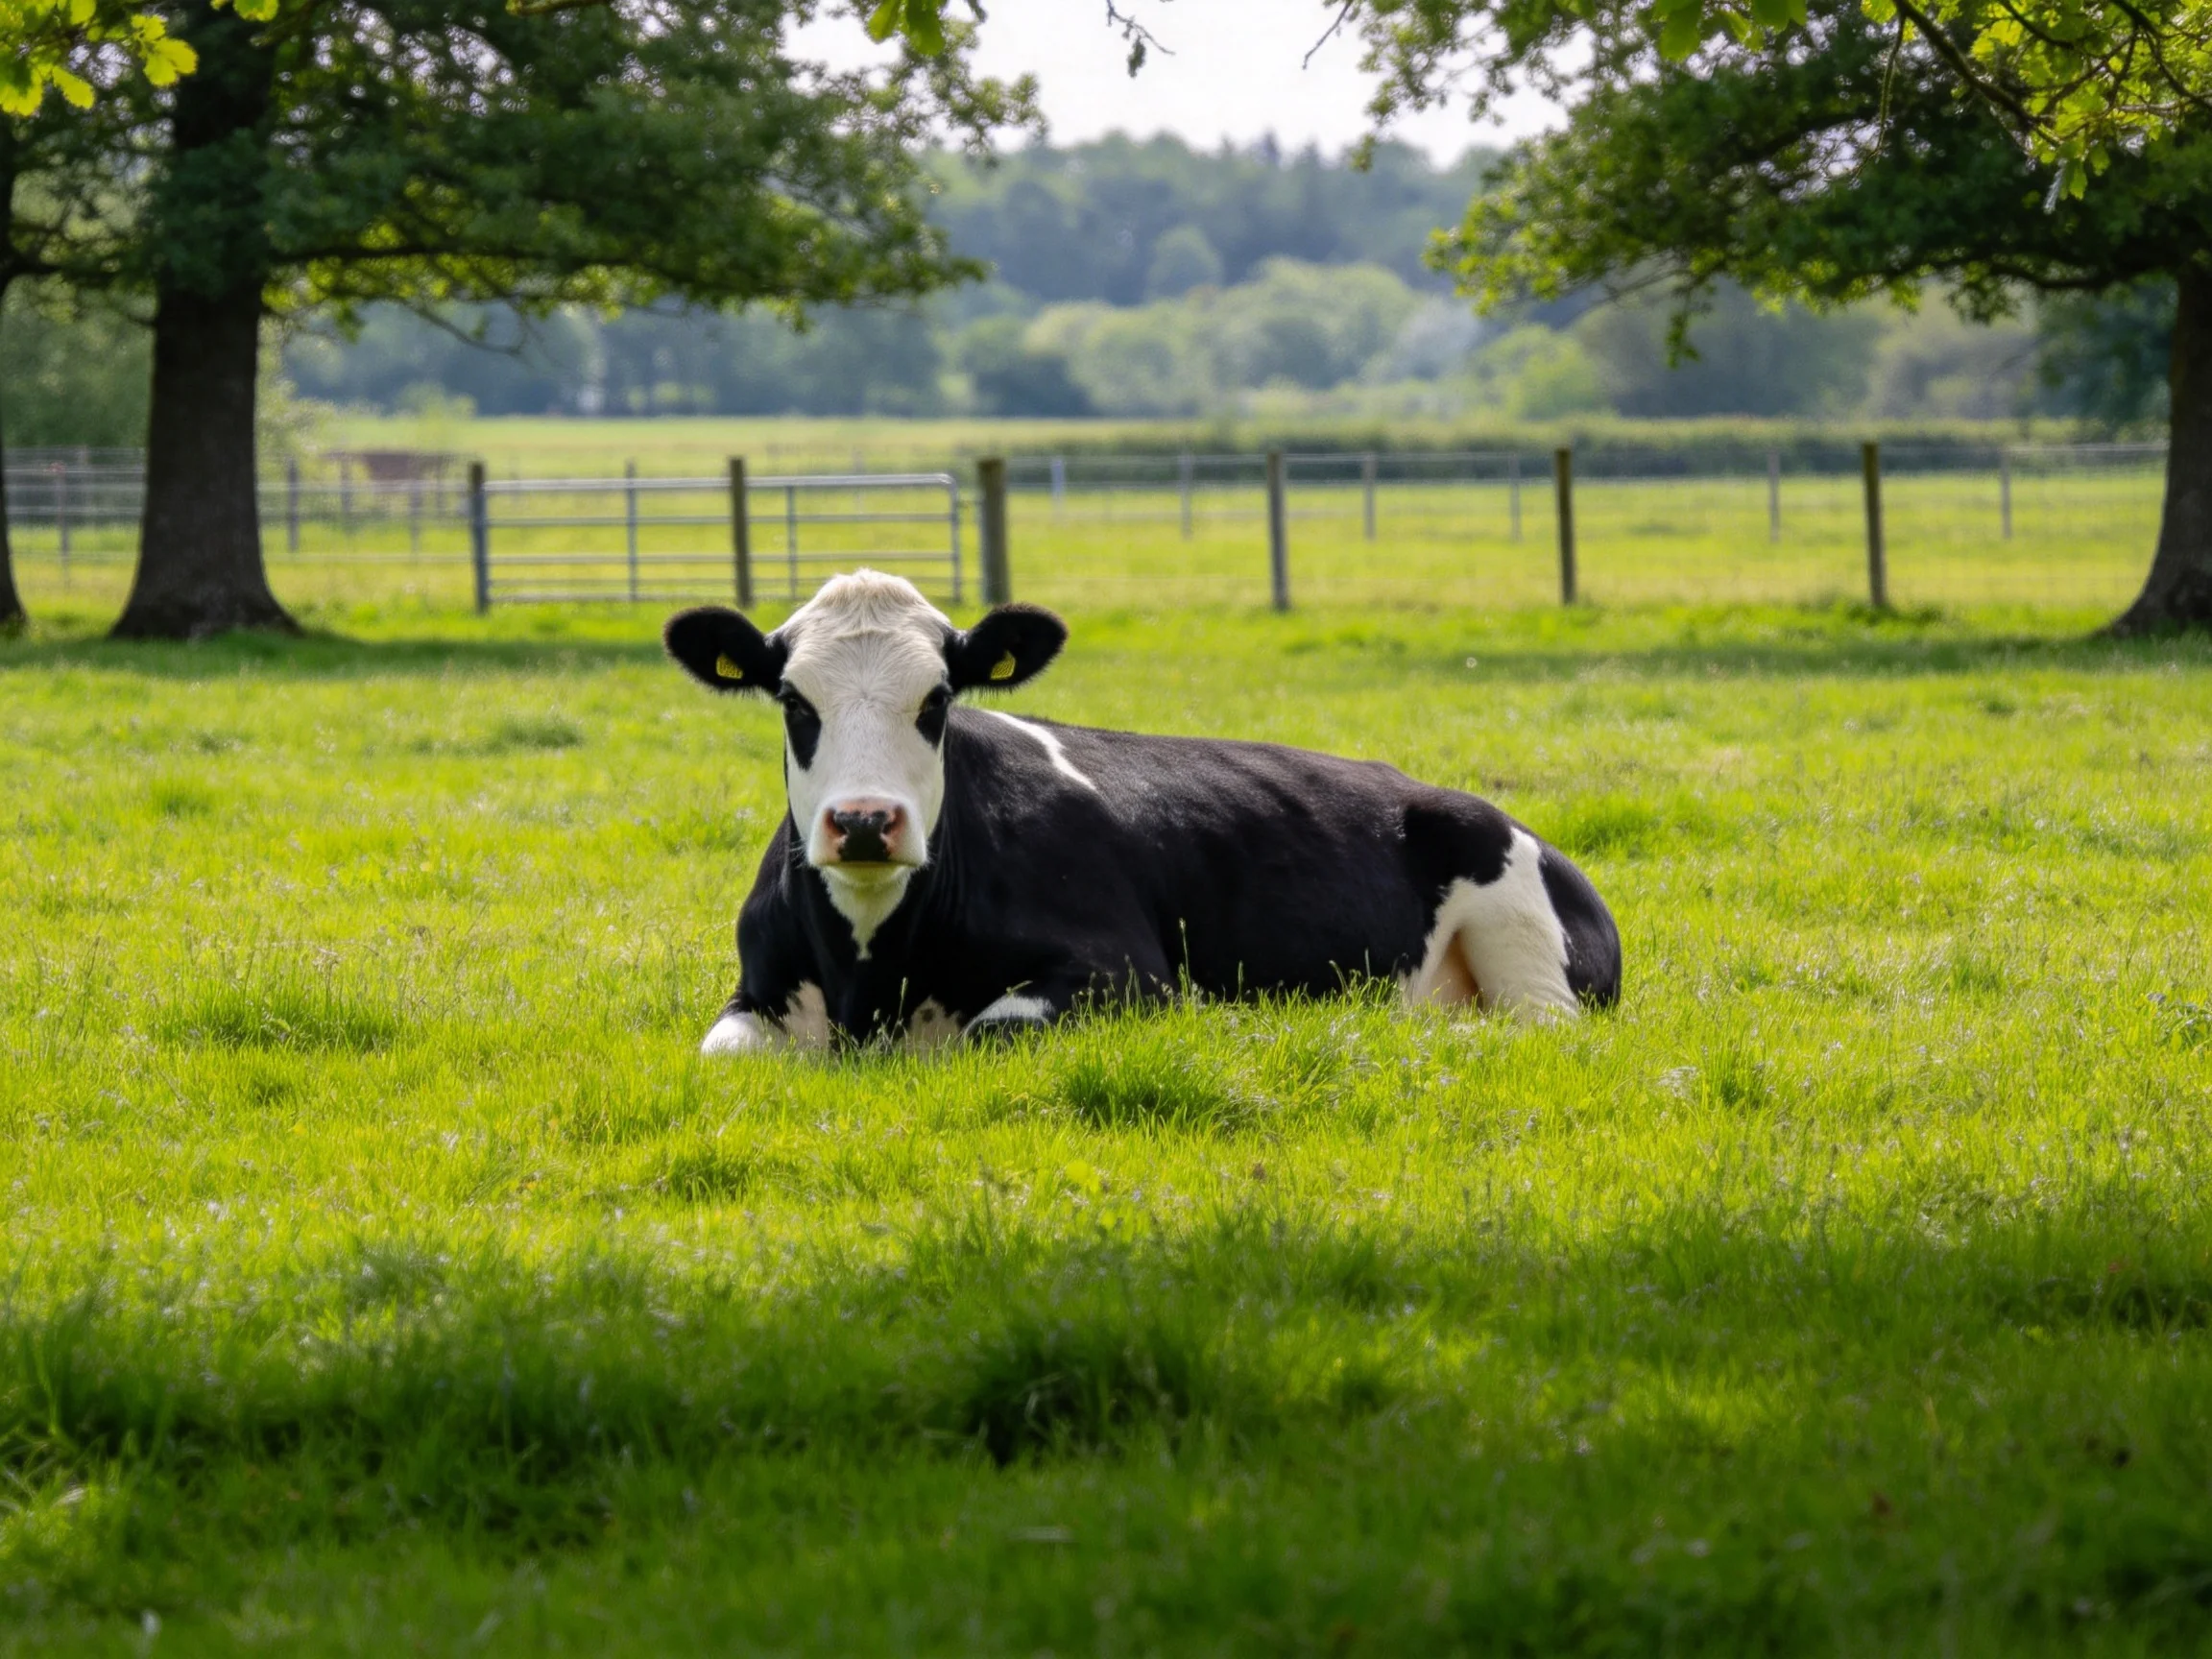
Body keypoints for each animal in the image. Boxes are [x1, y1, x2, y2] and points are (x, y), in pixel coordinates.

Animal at [663, 570, 1620, 1053]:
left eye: (937, 700)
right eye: (794, 700)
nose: (864, 822)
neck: (872, 976)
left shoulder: (1126, 974)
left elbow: (991, 1029)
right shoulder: (758, 989)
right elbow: (724, 1050)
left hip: (1527, 954)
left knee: (1535, 1028)